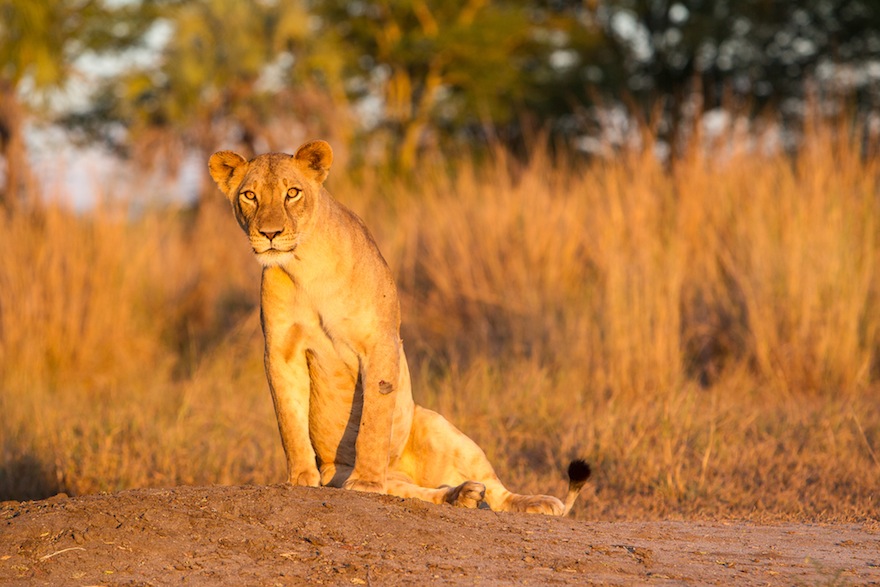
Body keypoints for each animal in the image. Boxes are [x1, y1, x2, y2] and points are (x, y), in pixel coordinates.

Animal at [208, 140, 590, 515]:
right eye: (250, 195)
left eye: (292, 193)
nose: (269, 233)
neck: (305, 266)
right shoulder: (281, 350)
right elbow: (289, 418)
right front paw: (301, 478)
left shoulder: (380, 341)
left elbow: (375, 420)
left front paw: (364, 481)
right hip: (377, 477)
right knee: (416, 492)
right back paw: (461, 495)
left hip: (440, 426)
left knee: (497, 492)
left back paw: (536, 502)